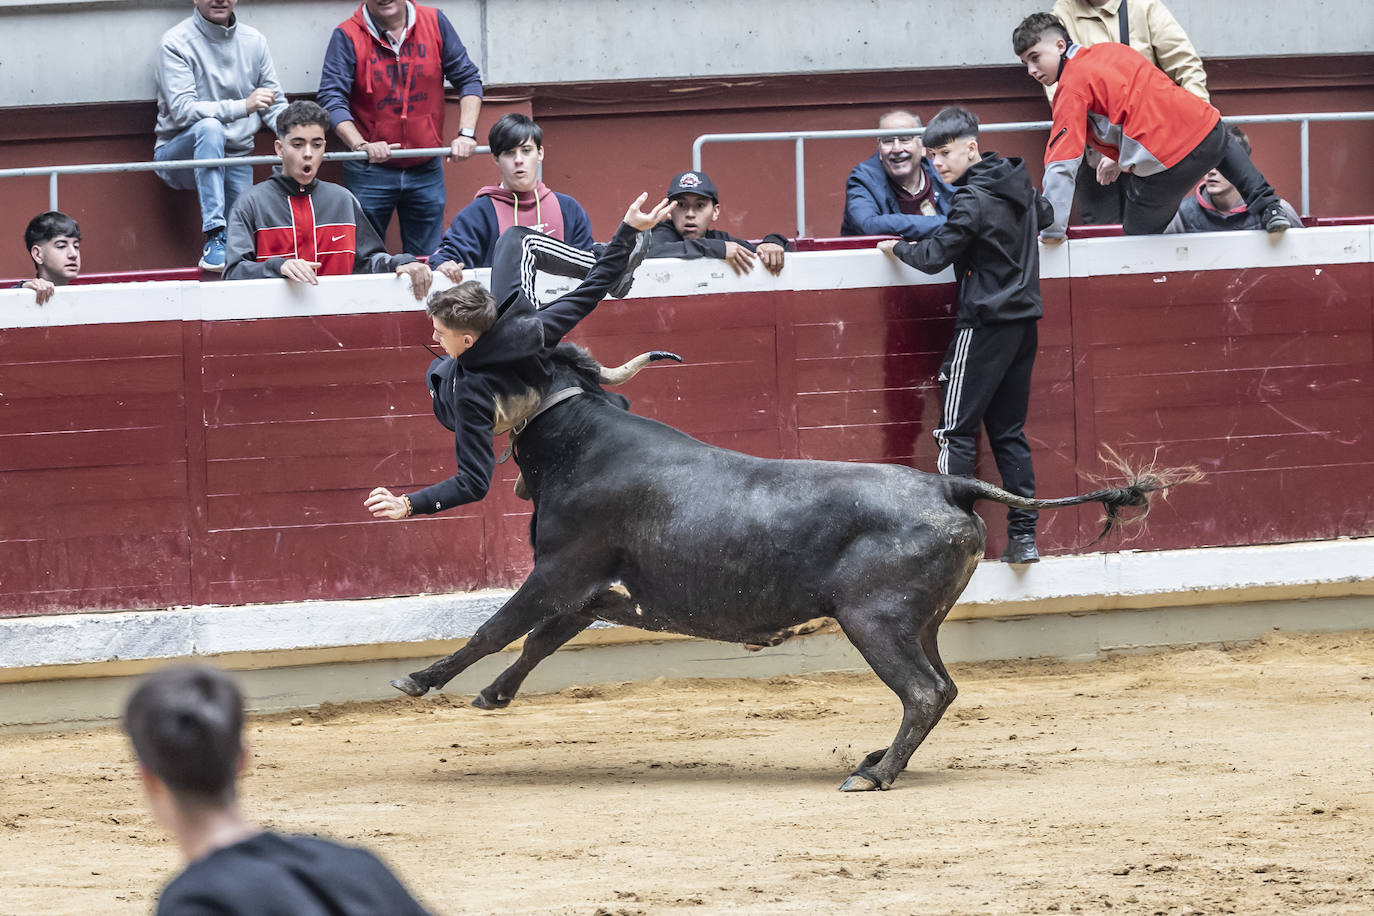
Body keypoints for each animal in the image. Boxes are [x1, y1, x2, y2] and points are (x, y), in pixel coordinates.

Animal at [390, 343, 1192, 791]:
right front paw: (491, 696)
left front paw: (419, 680)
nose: (430, 372)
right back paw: (876, 760)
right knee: (941, 687)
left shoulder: (560, 571)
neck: (579, 442)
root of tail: (948, 485)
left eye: (480, 364)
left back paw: (874, 777)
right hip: (918, 622)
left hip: (874, 621)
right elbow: (537, 640)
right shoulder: (594, 593)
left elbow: (497, 626)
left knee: (924, 692)